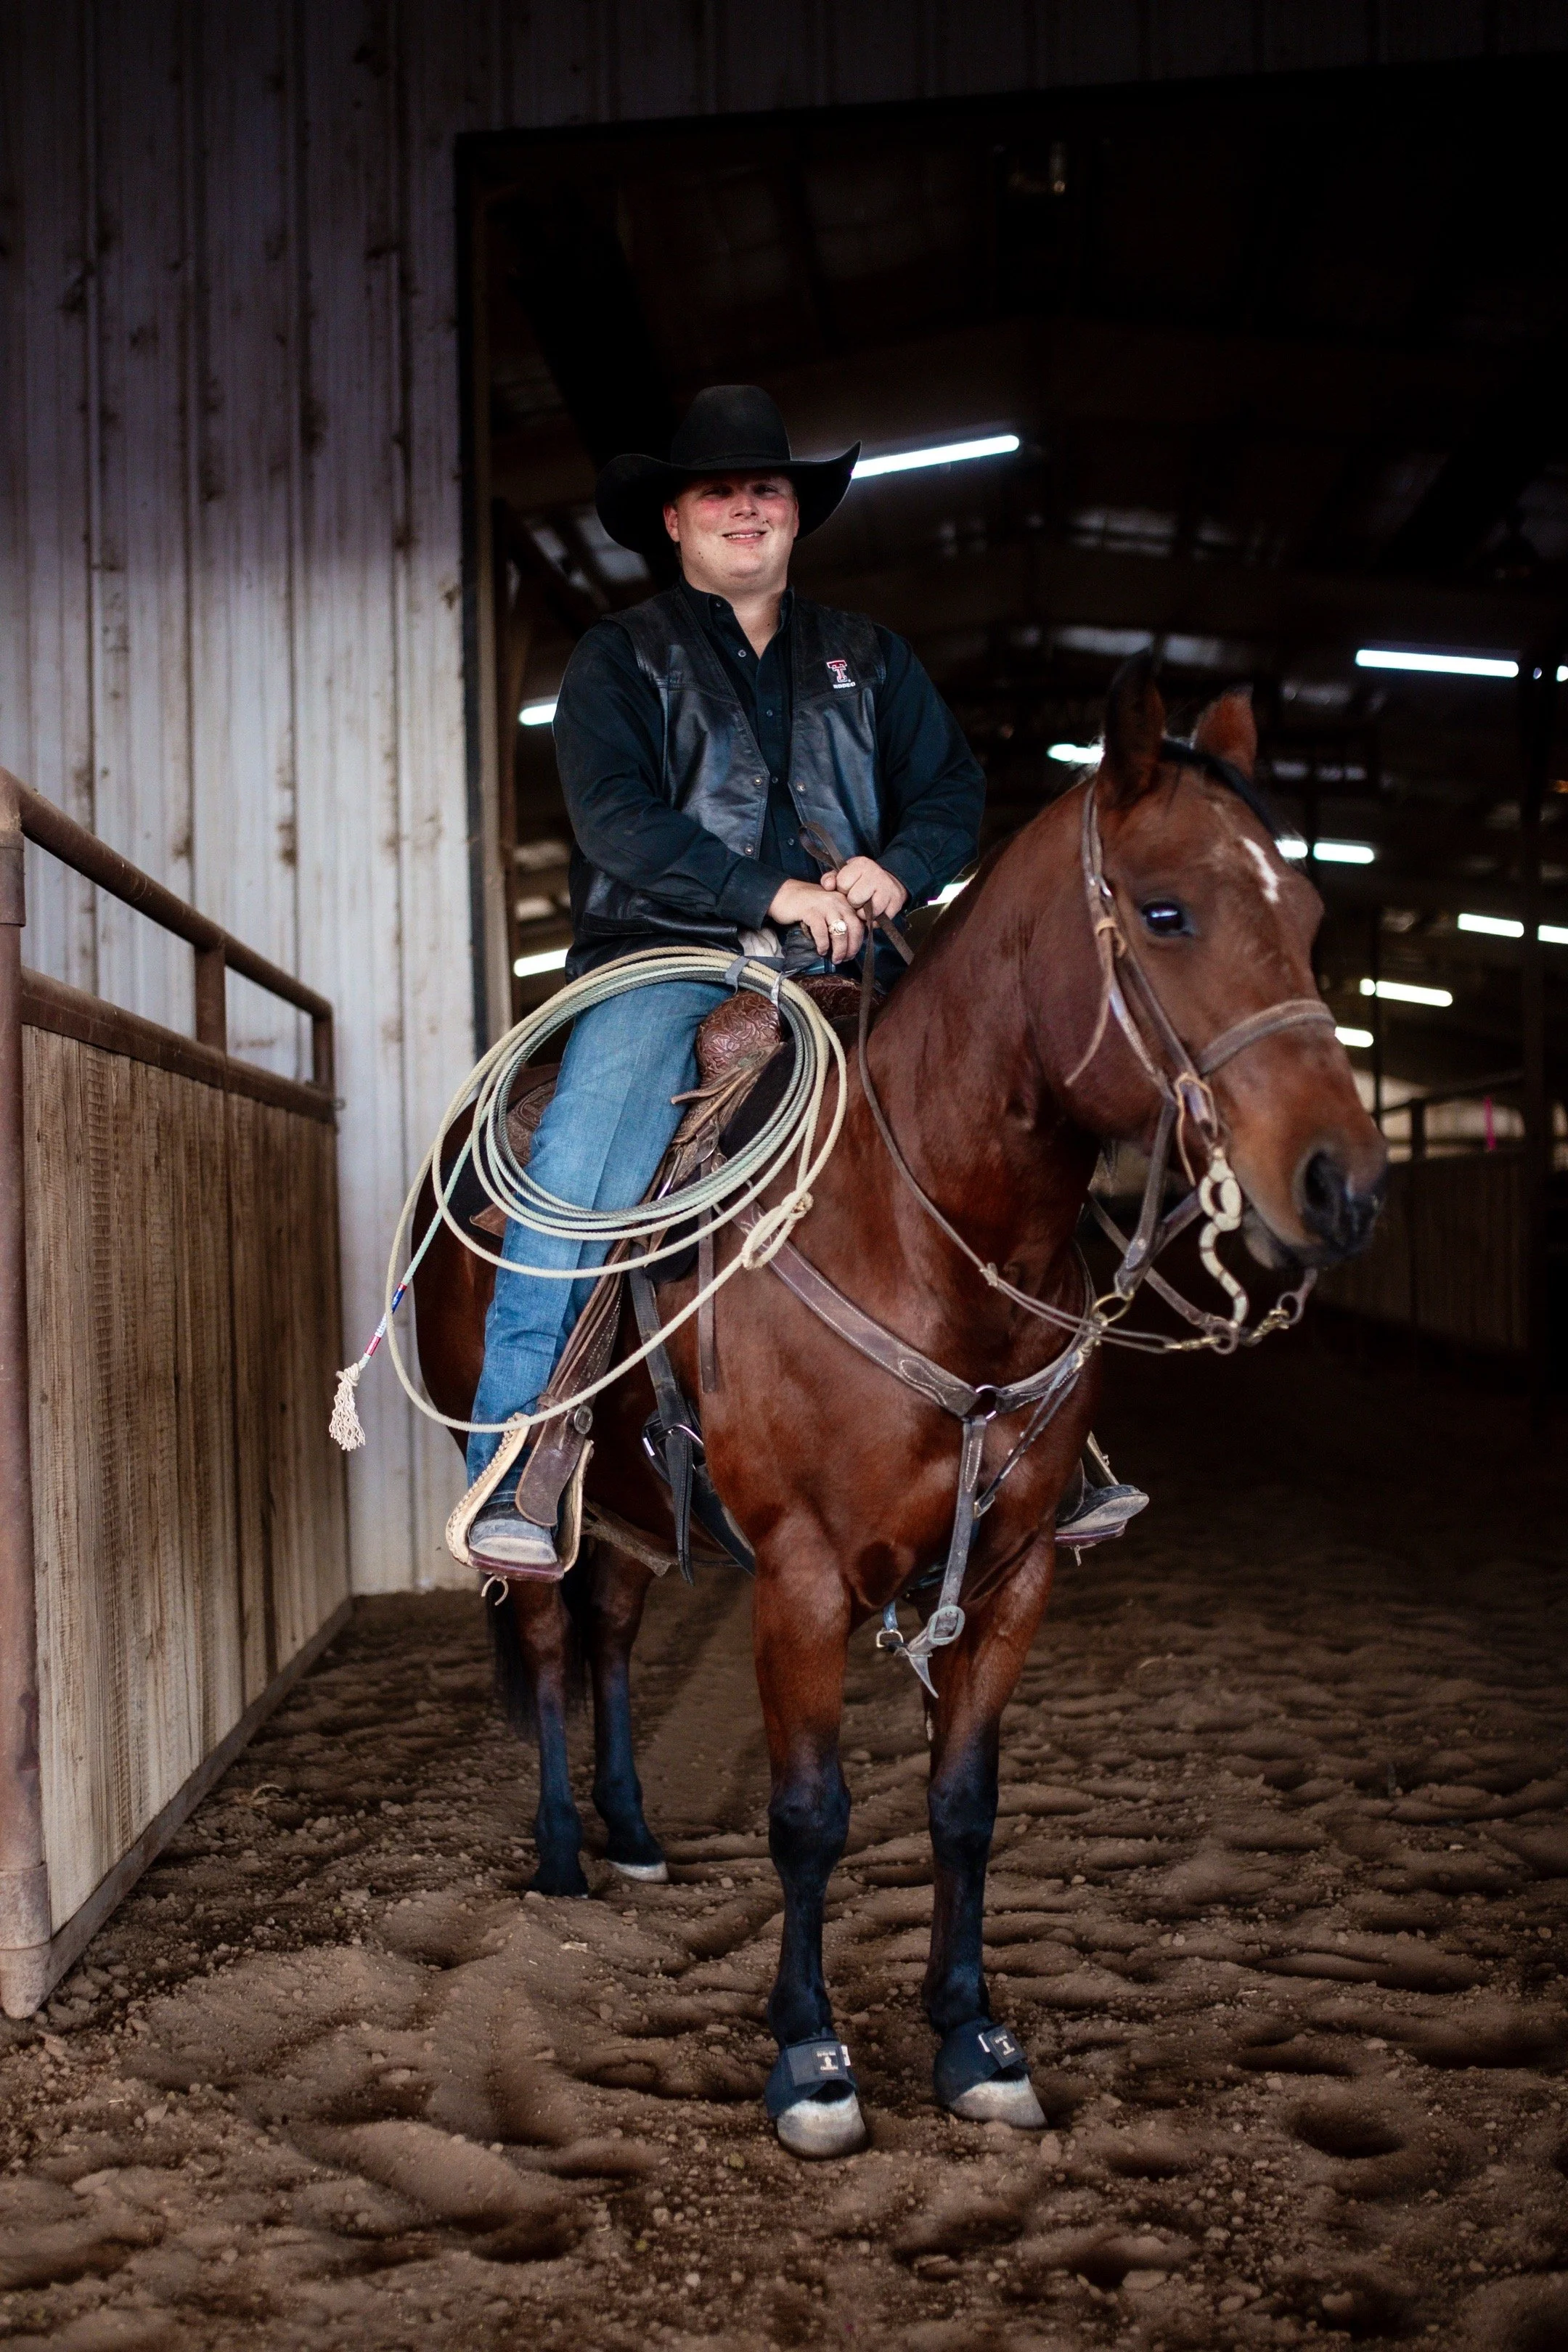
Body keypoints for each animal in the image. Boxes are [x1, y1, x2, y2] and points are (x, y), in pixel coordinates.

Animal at [412, 655, 1387, 2157]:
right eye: (1165, 910)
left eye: (1312, 916)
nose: (1344, 1184)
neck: (926, 1229)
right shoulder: (804, 1573)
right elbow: (810, 1816)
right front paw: (812, 2059)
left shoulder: (1014, 1570)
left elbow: (964, 1805)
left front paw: (973, 2037)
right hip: (517, 1470)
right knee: (544, 1626)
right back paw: (568, 1856)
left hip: (629, 1496)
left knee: (613, 1629)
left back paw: (632, 1834)